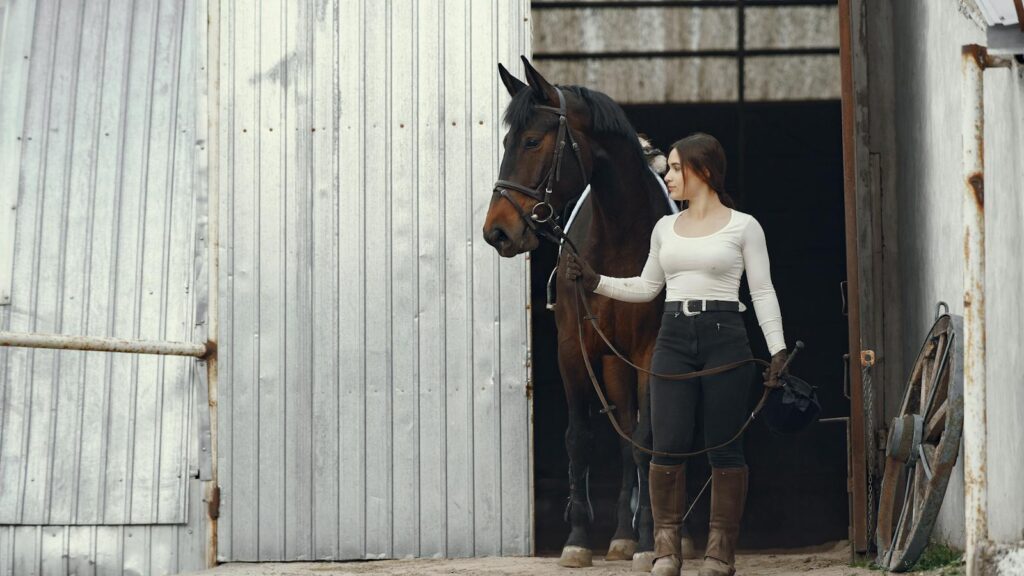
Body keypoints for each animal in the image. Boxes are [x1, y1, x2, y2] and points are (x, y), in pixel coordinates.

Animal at [482, 58, 678, 569]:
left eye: (533, 141)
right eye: (507, 143)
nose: (497, 232)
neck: (619, 240)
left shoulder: (647, 353)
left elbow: (647, 440)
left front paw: (649, 543)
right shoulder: (574, 350)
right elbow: (580, 438)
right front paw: (577, 539)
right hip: (609, 364)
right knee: (623, 434)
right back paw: (621, 536)